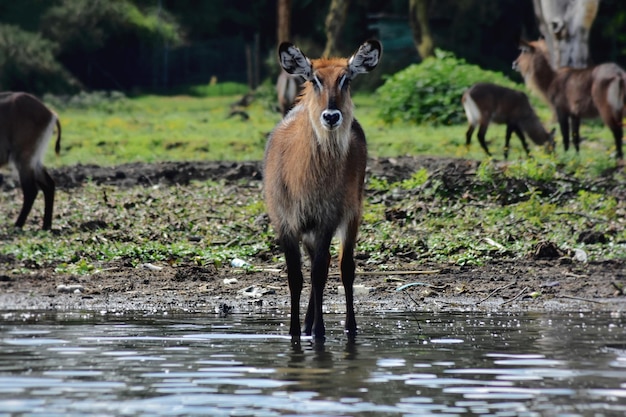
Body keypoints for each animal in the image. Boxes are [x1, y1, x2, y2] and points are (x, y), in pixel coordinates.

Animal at [0, 92, 60, 231]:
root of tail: (50, 112)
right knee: (49, 184)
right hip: (34, 158)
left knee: (31, 190)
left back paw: (18, 225)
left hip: (23, 157)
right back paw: (46, 226)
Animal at [264, 39, 380, 342]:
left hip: (352, 213)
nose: (331, 116)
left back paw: (349, 326)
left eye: (346, 79)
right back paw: (306, 324)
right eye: (314, 79)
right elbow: (296, 277)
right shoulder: (285, 221)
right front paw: (295, 333)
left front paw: (319, 333)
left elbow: (318, 274)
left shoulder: (328, 218)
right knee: (323, 262)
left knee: (343, 266)